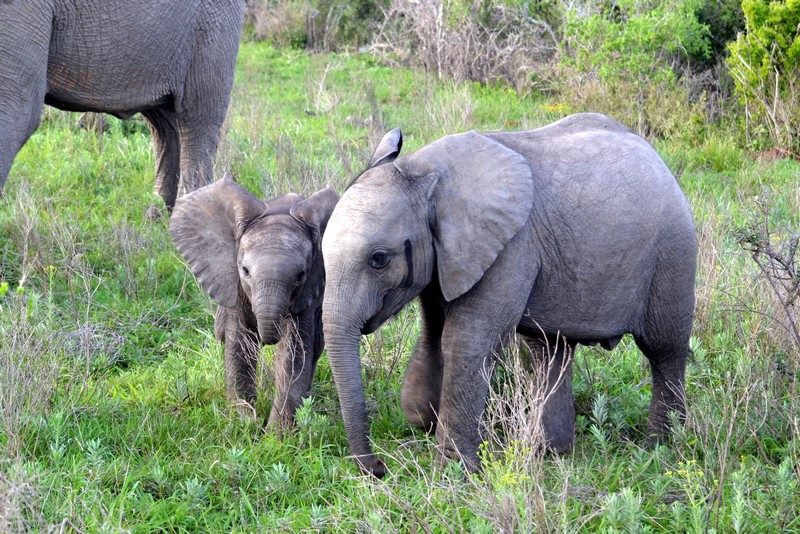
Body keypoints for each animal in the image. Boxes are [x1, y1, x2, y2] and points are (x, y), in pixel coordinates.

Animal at [171, 176, 338, 428]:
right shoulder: (235, 285)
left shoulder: (307, 293)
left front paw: (276, 434)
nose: (267, 337)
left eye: (300, 275)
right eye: (245, 271)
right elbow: (239, 344)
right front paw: (244, 424)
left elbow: (293, 353)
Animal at [322, 114, 696, 482]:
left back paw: (661, 448)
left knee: (665, 350)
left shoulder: (511, 247)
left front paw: (453, 476)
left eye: (379, 259)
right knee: (549, 351)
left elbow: (466, 341)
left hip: (673, 251)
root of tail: (659, 160)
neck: (420, 170)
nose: (380, 469)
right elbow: (433, 333)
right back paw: (551, 453)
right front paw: (421, 417)